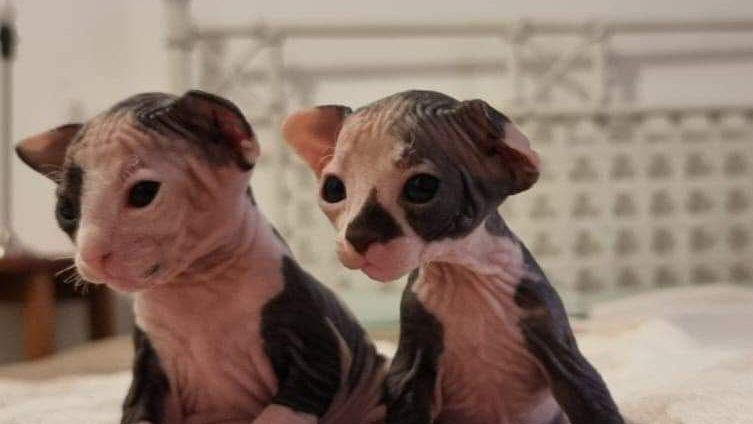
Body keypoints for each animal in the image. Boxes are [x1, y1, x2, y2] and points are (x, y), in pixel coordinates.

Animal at [16, 90, 388, 424]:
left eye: (143, 193)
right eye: (66, 210)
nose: (92, 255)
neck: (196, 285)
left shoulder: (317, 355)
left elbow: (274, 415)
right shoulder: (149, 370)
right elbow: (137, 413)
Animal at [282, 90, 624, 424]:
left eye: (422, 186)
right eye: (333, 189)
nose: (358, 236)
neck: (461, 274)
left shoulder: (559, 347)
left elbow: (591, 398)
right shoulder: (412, 364)